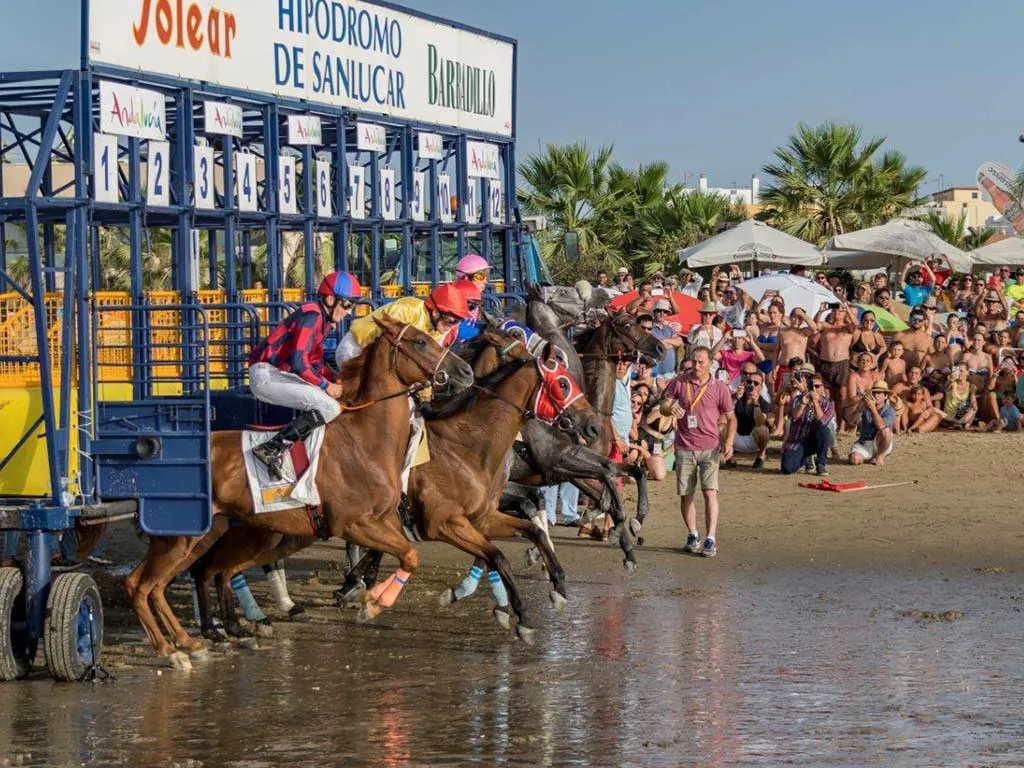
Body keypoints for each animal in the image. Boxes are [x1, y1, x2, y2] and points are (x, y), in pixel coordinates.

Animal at [122, 315, 471, 659]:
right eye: (420, 342)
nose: (465, 371)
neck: (365, 439)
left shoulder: (385, 521)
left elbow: (403, 555)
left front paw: (366, 595)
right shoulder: (354, 523)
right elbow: (409, 555)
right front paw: (372, 604)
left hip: (207, 533)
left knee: (167, 580)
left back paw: (193, 639)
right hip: (179, 537)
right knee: (142, 585)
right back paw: (171, 649)